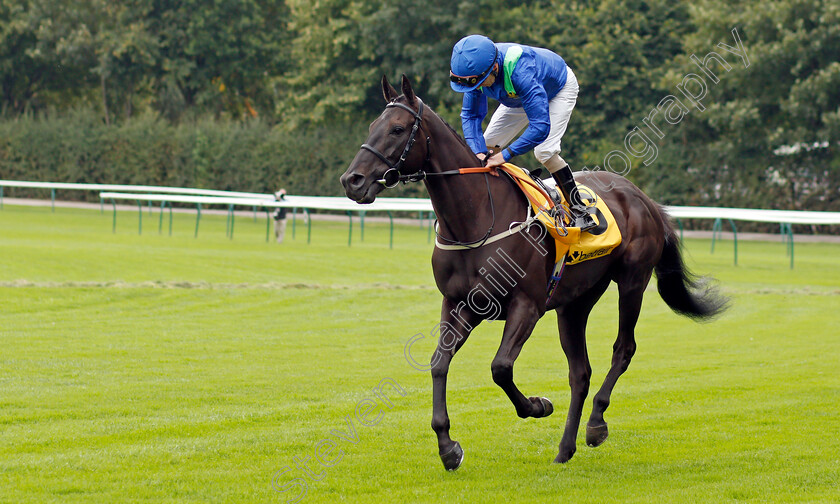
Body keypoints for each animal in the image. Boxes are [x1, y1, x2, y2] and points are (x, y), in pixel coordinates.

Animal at [342, 74, 728, 468]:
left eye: (398, 129)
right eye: (372, 126)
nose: (351, 180)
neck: (477, 219)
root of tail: (644, 198)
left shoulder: (526, 305)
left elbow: (500, 367)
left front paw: (537, 406)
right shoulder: (459, 303)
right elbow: (439, 362)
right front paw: (448, 447)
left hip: (632, 282)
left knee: (623, 349)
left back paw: (596, 424)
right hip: (574, 303)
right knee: (580, 372)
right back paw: (565, 448)